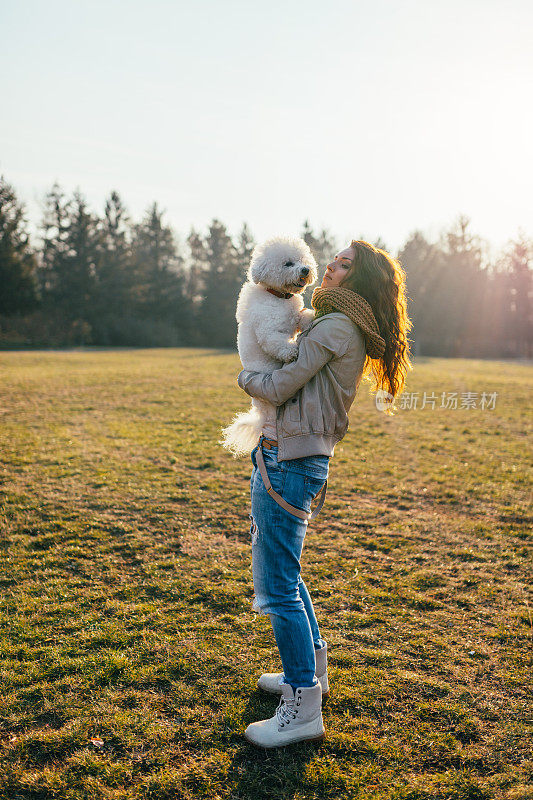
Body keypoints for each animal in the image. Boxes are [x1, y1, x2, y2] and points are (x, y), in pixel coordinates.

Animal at [219, 236, 318, 456]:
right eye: (288, 263)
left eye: (301, 259)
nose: (305, 270)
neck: (277, 296)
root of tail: (260, 413)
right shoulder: (268, 330)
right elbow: (277, 342)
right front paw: (292, 351)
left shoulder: (294, 316)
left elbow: (301, 316)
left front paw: (313, 316)